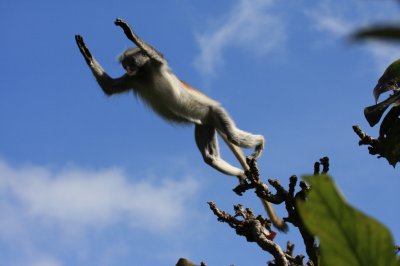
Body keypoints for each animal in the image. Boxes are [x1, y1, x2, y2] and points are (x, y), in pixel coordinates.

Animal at [76, 18, 288, 231]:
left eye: (131, 62)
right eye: (124, 64)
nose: (126, 68)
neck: (144, 74)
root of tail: (211, 113)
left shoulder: (155, 65)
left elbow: (154, 55)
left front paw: (128, 32)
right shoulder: (132, 79)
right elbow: (109, 88)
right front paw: (85, 51)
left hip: (215, 112)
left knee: (233, 136)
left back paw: (260, 142)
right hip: (205, 124)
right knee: (210, 157)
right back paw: (241, 174)